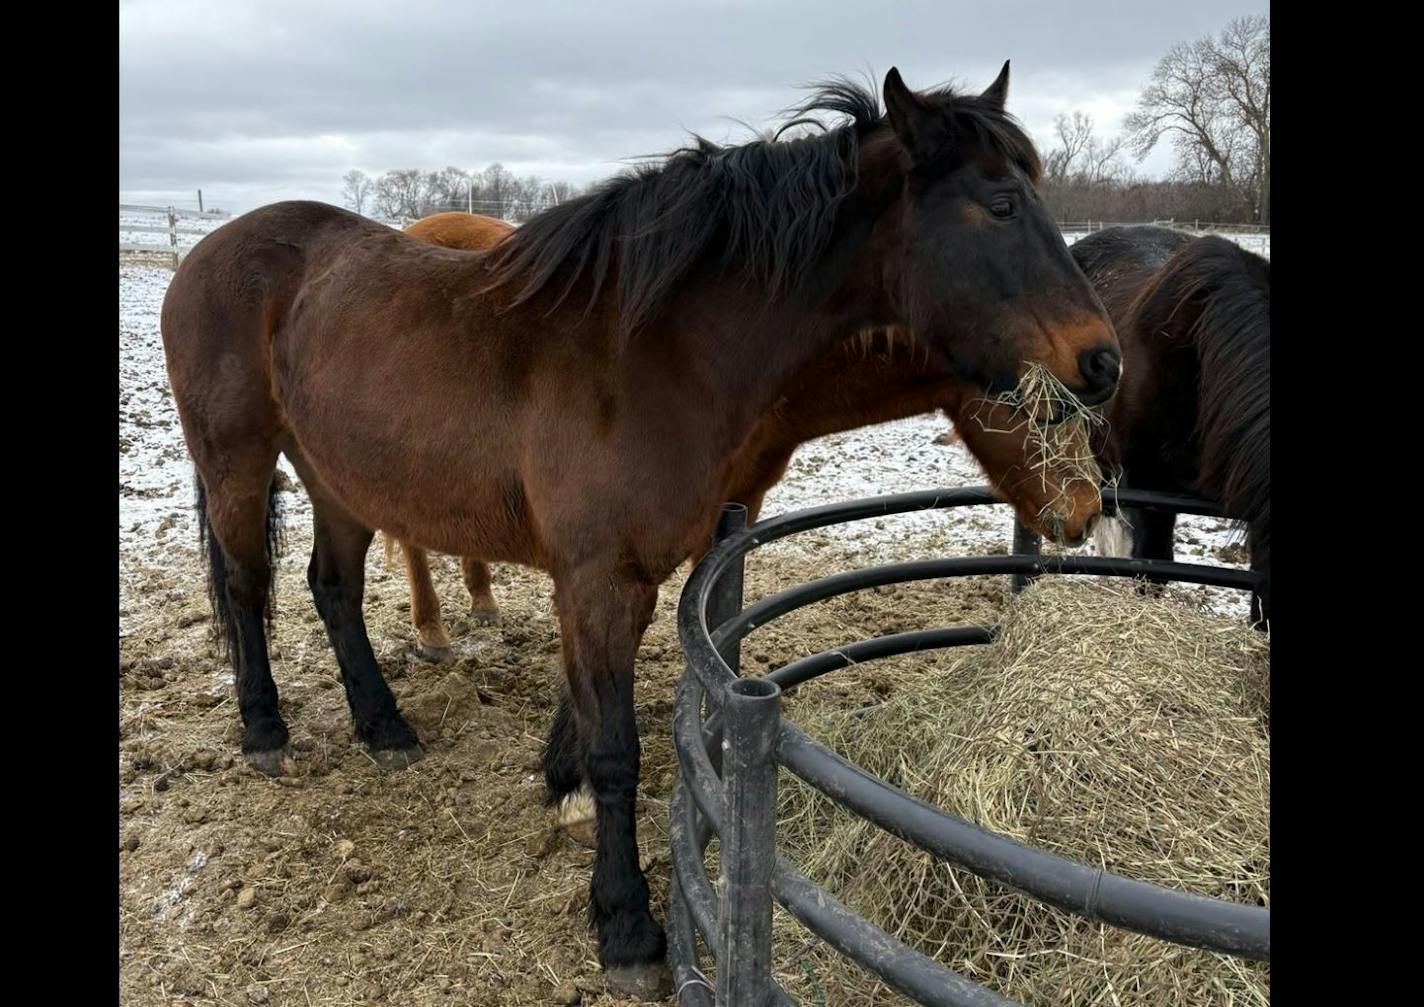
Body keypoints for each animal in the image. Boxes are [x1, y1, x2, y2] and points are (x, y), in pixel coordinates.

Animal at [161, 65, 1122, 1002]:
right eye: (1000, 204)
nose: (1103, 360)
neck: (651, 354)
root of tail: (205, 252)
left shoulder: (649, 566)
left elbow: (588, 712)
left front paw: (562, 787)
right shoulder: (598, 577)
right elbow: (616, 748)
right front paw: (625, 926)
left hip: (336, 477)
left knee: (333, 589)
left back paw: (384, 727)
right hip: (238, 461)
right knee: (247, 590)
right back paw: (266, 732)